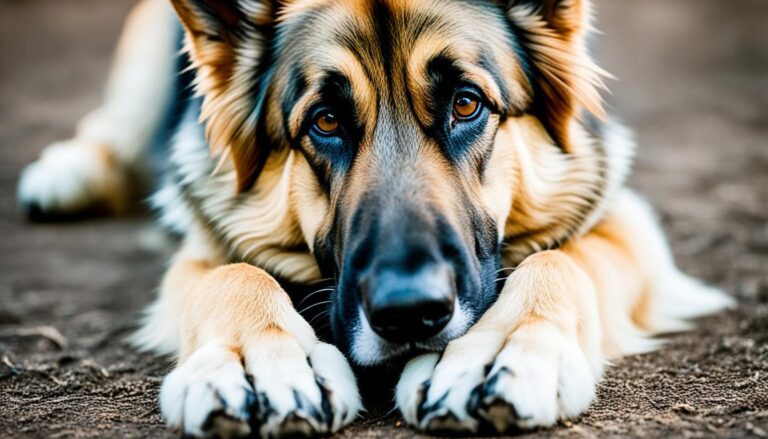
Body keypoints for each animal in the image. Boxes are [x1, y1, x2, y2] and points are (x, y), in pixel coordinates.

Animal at [18, 0, 736, 436]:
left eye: (467, 104)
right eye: (325, 121)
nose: (411, 313)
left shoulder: (625, 221)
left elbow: (565, 260)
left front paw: (495, 350)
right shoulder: (203, 241)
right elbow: (229, 276)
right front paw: (260, 362)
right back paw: (65, 173)